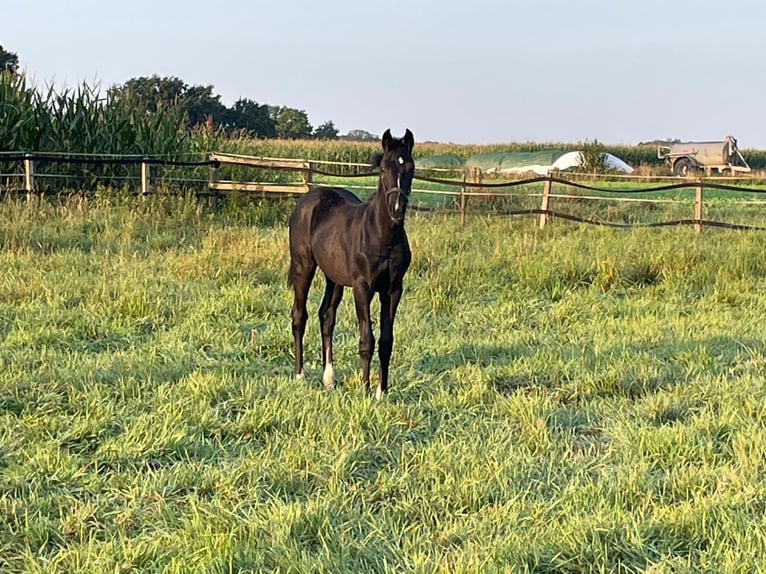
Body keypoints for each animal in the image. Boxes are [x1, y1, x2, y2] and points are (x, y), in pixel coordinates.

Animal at [288, 130, 416, 400]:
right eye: (383, 169)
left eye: (411, 168)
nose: (397, 210)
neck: (383, 236)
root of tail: (308, 198)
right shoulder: (362, 287)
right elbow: (367, 339)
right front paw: (366, 391)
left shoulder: (393, 290)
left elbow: (386, 341)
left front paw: (382, 392)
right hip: (303, 266)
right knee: (299, 315)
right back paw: (299, 375)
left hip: (334, 278)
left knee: (326, 316)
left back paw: (329, 379)